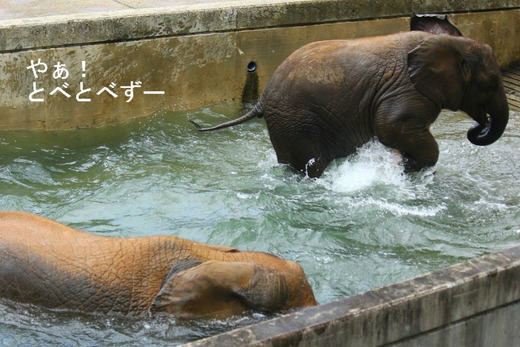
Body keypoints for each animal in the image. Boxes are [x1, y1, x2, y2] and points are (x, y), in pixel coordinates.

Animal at [194, 13, 508, 178]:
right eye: (492, 83)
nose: (477, 127)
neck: (448, 43)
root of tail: (262, 98)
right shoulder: (406, 91)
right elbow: (389, 126)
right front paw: (410, 167)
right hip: (294, 120)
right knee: (312, 164)